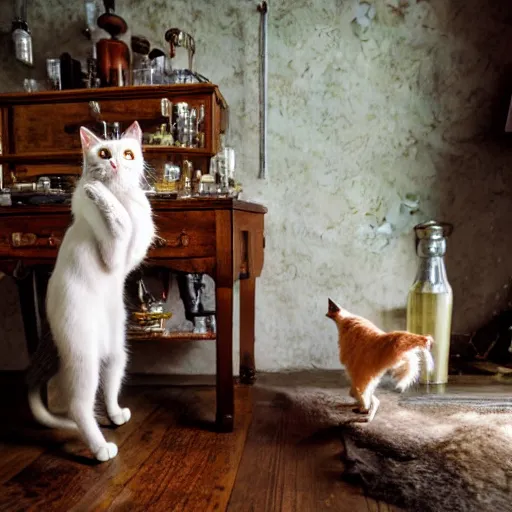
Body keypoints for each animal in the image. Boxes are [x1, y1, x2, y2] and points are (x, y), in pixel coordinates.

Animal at [27, 122, 155, 462]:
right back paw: (101, 449)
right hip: (85, 360)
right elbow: (120, 221)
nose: (115, 164)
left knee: (108, 389)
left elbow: (137, 230)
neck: (122, 195)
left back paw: (116, 415)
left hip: (117, 353)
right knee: (78, 407)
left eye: (128, 153)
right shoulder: (113, 253)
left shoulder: (131, 256)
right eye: (104, 152)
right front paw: (97, 192)